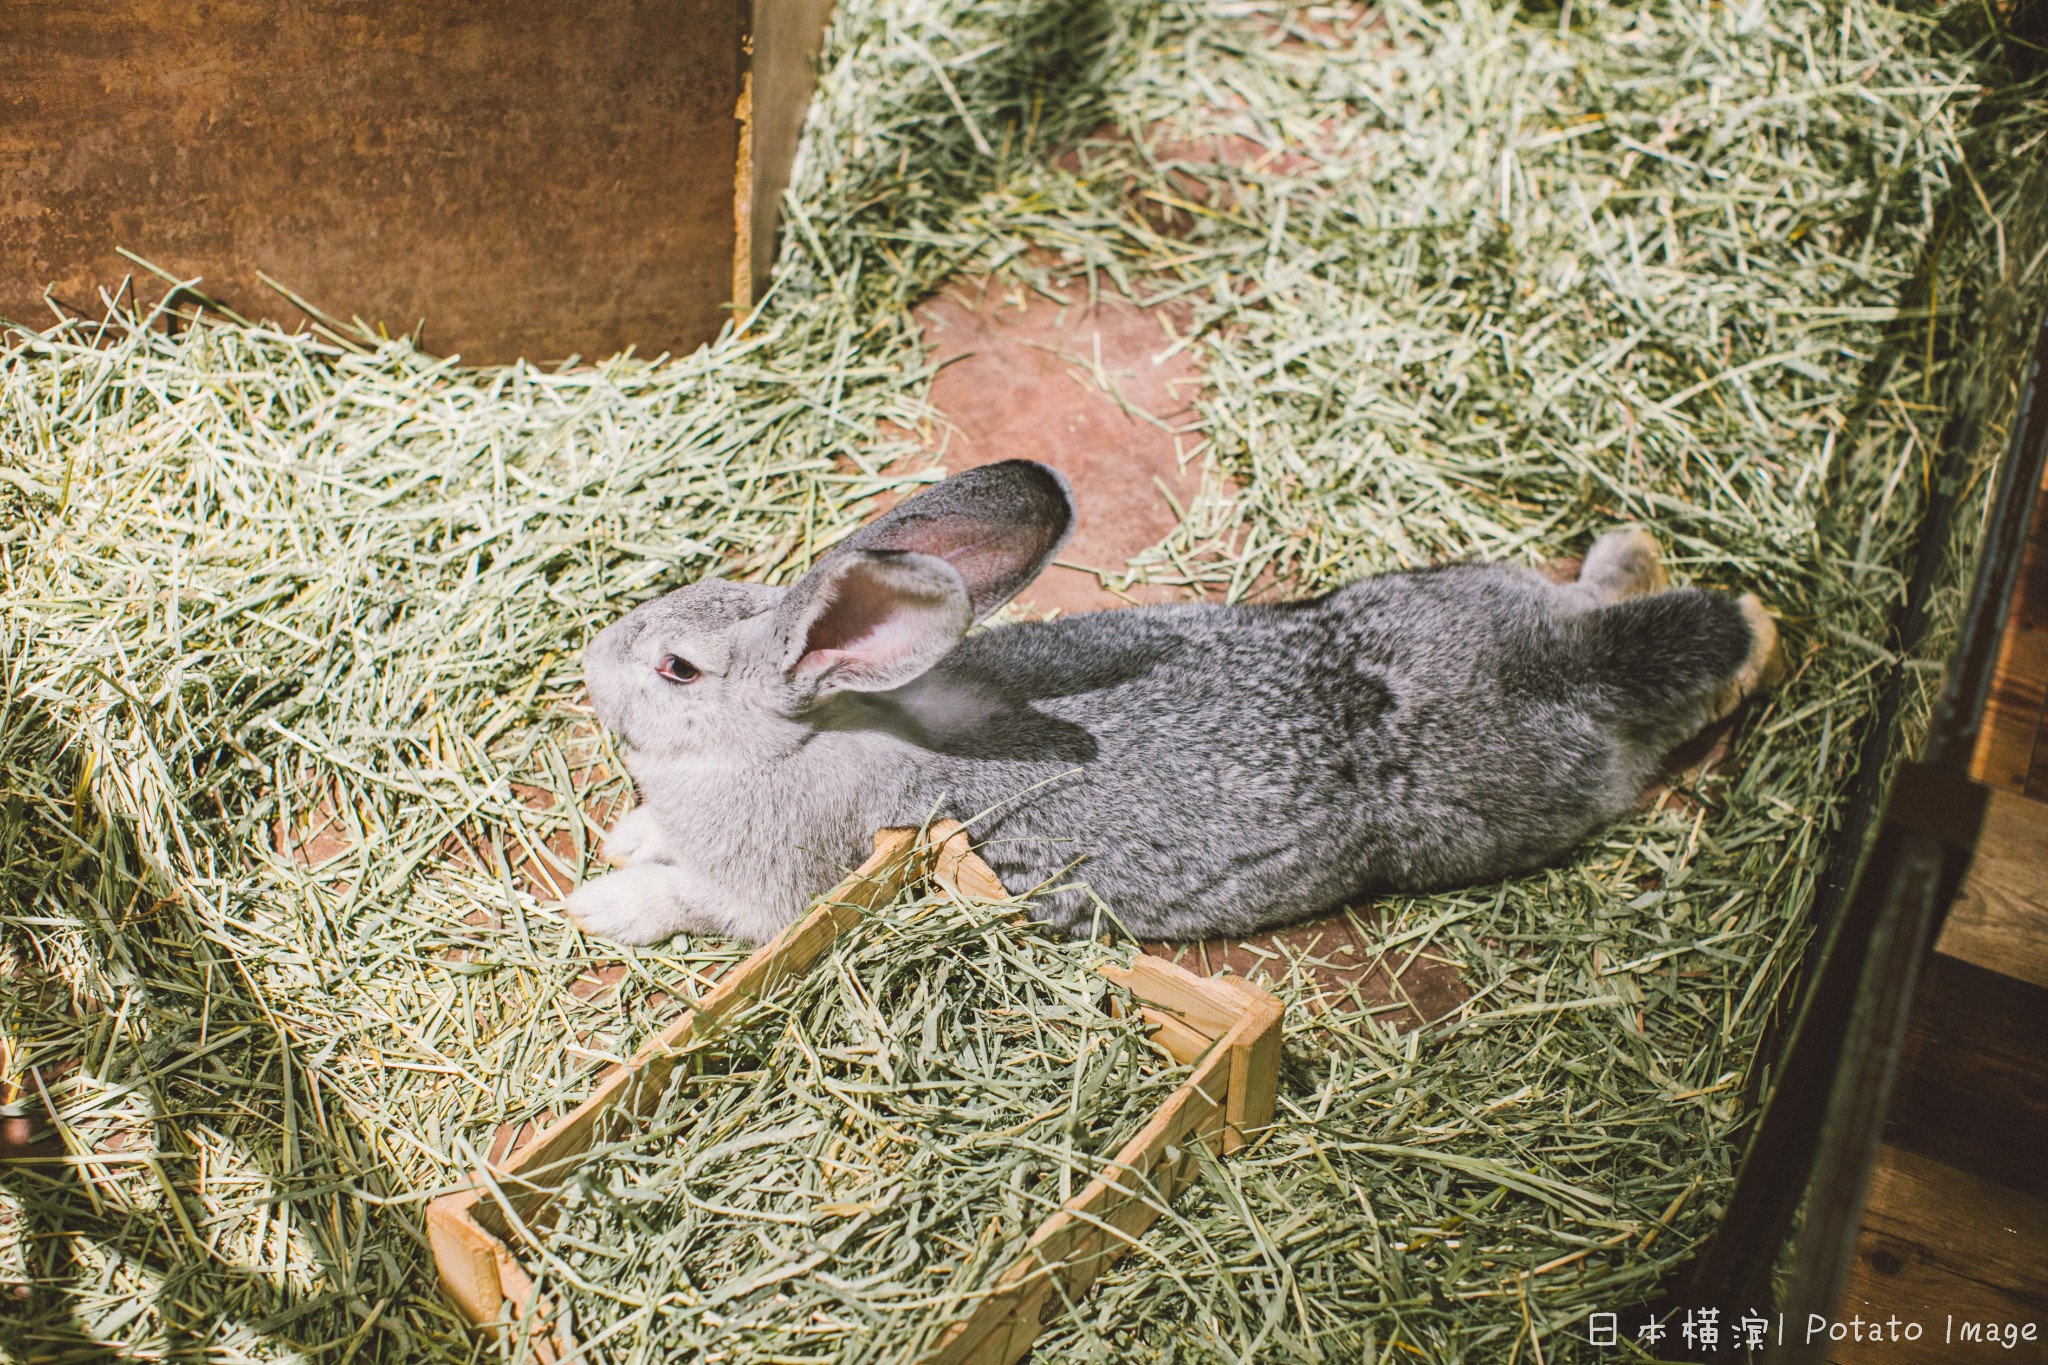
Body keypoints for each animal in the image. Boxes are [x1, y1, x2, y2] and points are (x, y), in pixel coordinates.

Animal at [565, 464, 1777, 945]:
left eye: (676, 670)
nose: (587, 662)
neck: (804, 734)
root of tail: (1558, 663)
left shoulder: (777, 895)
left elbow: (690, 902)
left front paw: (600, 903)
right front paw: (626, 839)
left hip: (1544, 801)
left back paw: (1753, 641)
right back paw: (1644, 559)